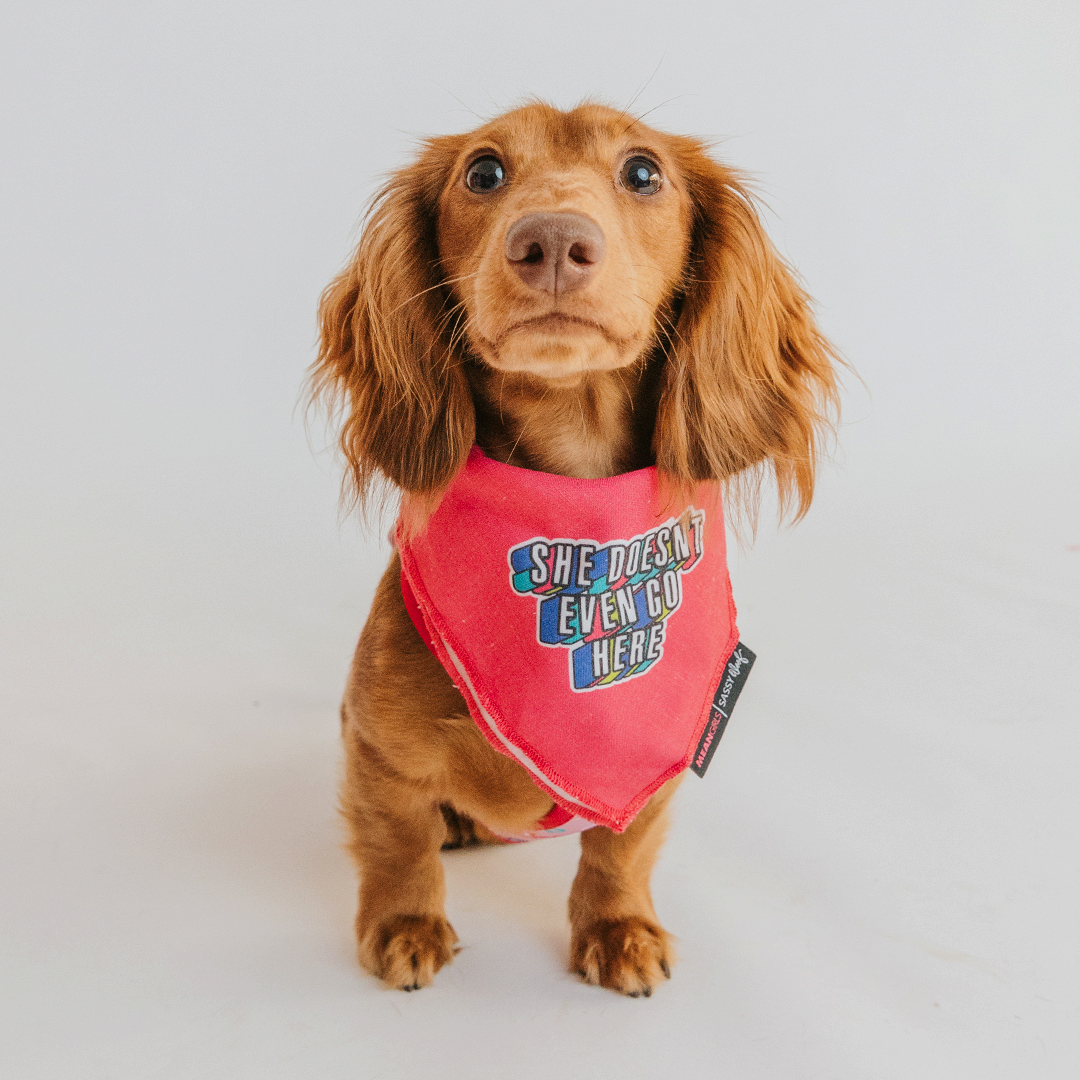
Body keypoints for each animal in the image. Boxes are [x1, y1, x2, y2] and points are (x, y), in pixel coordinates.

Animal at [308, 101, 838, 993]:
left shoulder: (660, 761)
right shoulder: (377, 747)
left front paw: (618, 929)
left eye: (643, 172)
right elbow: (399, 841)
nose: (551, 240)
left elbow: (619, 851)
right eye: (483, 172)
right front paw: (404, 923)